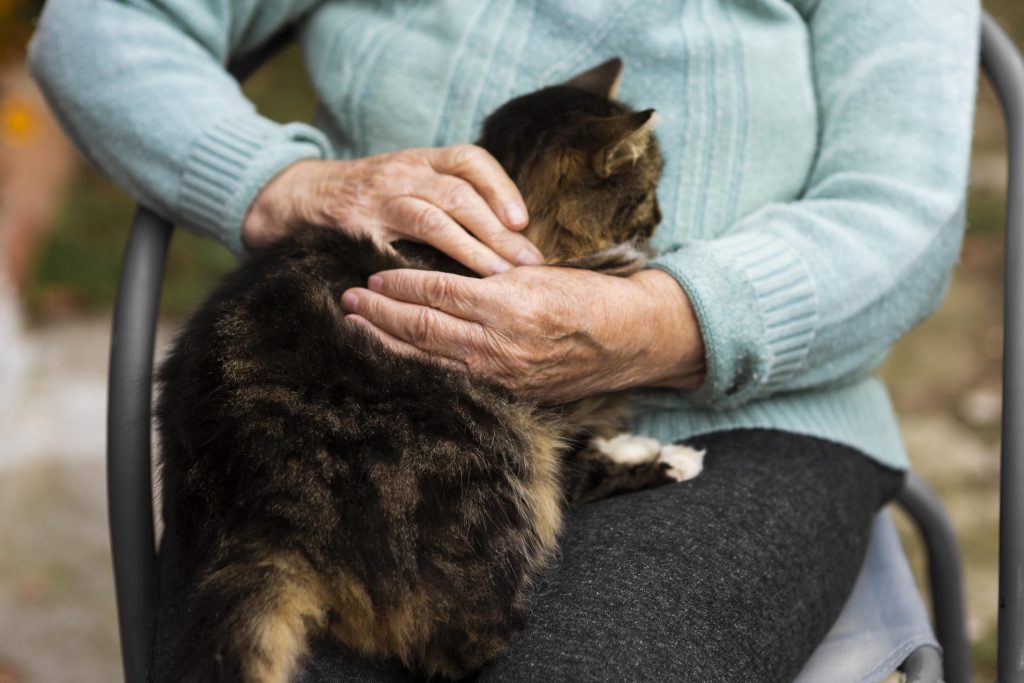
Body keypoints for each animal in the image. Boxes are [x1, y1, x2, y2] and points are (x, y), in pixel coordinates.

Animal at [155, 56, 704, 679]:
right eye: (648, 190)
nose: (661, 217)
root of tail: (264, 512)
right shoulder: (542, 400)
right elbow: (581, 464)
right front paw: (664, 457)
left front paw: (632, 443)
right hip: (495, 453)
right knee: (451, 639)